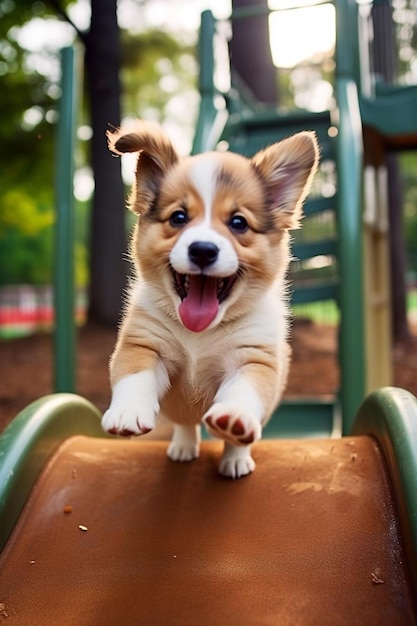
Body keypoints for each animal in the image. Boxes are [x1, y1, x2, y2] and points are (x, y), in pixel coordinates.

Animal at [102, 119, 316, 476]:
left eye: (238, 223)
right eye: (178, 218)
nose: (202, 250)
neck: (200, 335)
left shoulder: (252, 359)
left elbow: (242, 394)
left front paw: (235, 419)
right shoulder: (144, 344)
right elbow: (135, 378)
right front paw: (127, 413)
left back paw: (235, 458)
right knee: (185, 423)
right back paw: (183, 446)